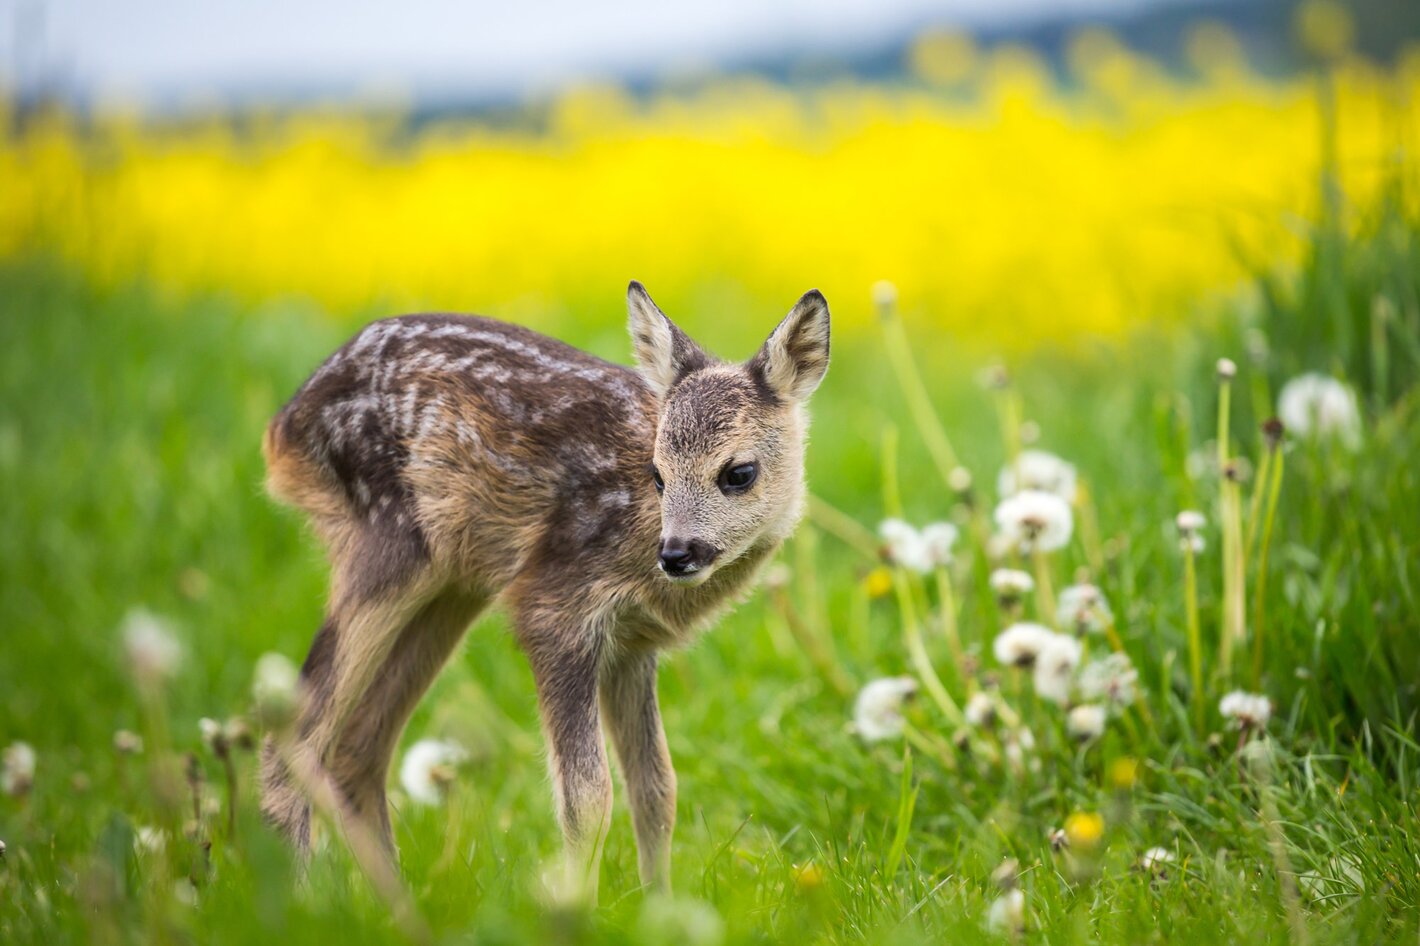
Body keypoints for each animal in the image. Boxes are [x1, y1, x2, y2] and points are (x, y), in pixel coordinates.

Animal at [261, 278, 829, 892]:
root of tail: (283, 428)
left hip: (452, 587)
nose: (676, 554)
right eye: (657, 474)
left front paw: (660, 904)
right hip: (387, 543)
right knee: (292, 735)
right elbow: (588, 797)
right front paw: (577, 903)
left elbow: (657, 790)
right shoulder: (555, 607)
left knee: (357, 747)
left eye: (738, 473)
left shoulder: (631, 646)